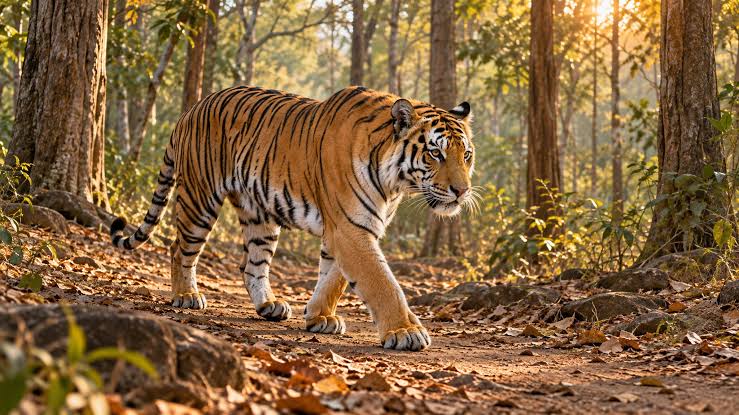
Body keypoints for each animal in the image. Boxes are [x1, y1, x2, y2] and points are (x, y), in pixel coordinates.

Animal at [110, 85, 474, 351]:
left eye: (466, 155)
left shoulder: (347, 228)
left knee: (252, 266)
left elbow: (333, 278)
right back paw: (186, 296)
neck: (394, 183)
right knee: (180, 249)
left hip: (259, 217)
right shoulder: (350, 228)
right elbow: (381, 282)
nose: (462, 191)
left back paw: (269, 305)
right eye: (435, 153)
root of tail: (191, 110)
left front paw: (319, 317)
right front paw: (406, 331)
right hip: (199, 199)